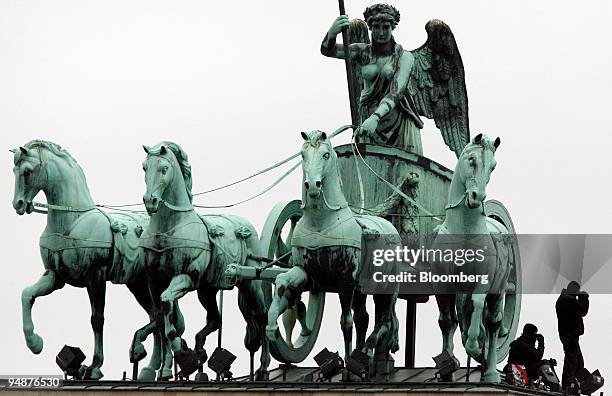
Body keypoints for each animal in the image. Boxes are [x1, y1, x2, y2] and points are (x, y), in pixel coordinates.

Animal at [141, 143, 270, 380]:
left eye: (164, 168)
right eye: (145, 167)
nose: (150, 200)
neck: (167, 228)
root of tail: (247, 228)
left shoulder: (186, 278)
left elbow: (166, 306)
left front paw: (179, 348)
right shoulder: (154, 283)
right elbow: (161, 317)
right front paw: (166, 369)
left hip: (250, 284)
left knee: (263, 317)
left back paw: (263, 368)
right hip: (207, 290)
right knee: (215, 319)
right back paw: (199, 349)